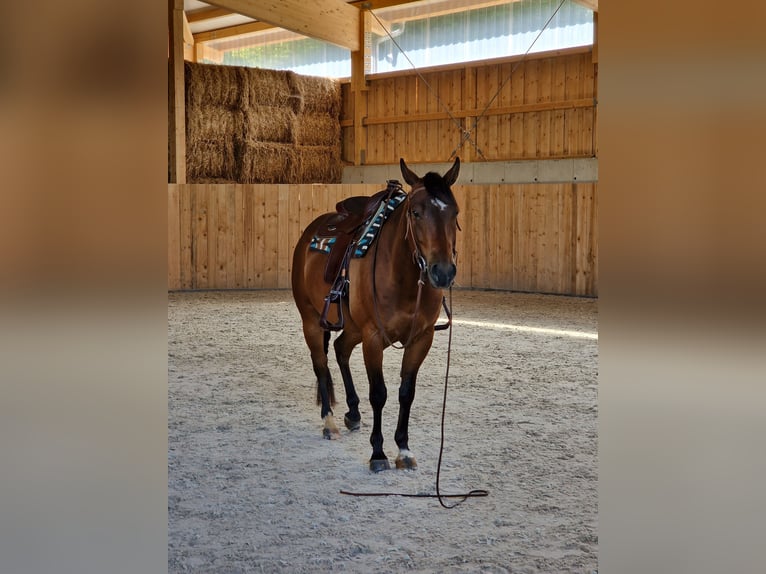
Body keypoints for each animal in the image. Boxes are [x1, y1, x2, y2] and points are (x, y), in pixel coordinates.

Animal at [291, 157, 460, 472]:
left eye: (454, 211)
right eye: (416, 213)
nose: (443, 272)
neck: (404, 277)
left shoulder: (422, 339)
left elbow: (406, 393)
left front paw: (403, 450)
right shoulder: (373, 337)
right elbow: (379, 393)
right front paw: (378, 453)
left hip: (353, 327)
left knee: (340, 349)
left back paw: (353, 413)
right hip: (311, 321)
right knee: (320, 363)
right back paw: (329, 422)